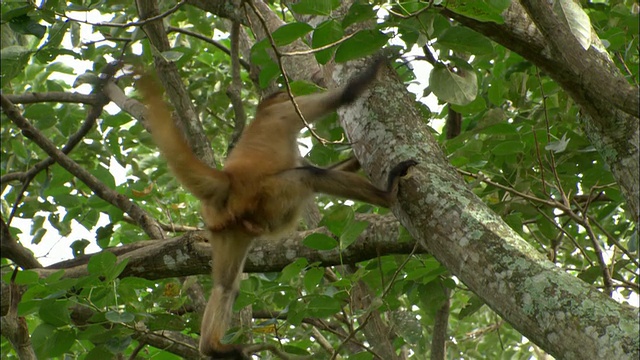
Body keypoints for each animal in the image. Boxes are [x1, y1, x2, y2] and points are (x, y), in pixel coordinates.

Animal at [139, 57, 418, 358]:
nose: (288, 93)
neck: (261, 115)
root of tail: (229, 180)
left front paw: (354, 159)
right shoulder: (283, 113)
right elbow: (345, 95)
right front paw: (377, 65)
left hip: (228, 227)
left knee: (225, 286)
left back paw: (212, 346)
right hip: (269, 195)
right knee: (308, 176)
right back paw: (387, 194)